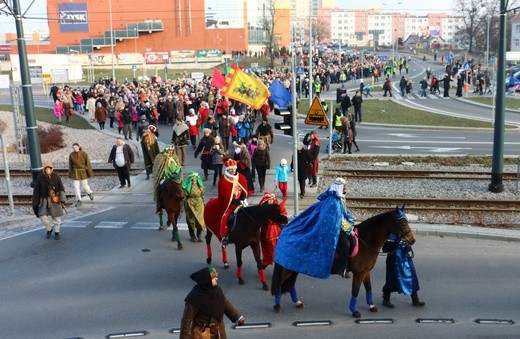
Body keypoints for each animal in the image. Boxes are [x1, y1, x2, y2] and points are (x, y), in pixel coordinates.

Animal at [270, 206, 416, 320]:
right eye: (403, 224)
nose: (412, 240)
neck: (365, 241)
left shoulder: (365, 272)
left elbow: (368, 288)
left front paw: (371, 306)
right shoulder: (359, 273)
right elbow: (355, 291)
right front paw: (354, 311)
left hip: (294, 266)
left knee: (291, 283)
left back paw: (297, 302)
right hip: (289, 267)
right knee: (280, 282)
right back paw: (277, 306)